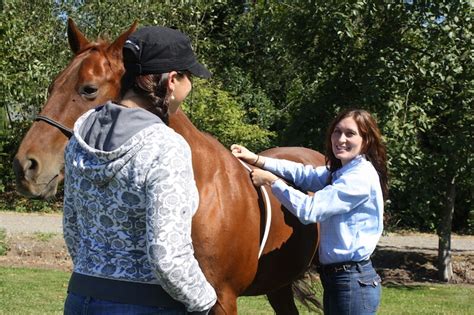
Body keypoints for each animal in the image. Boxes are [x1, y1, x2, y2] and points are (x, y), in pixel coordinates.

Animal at [12, 19, 326, 314]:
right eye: (52, 86)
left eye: (89, 89)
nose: (25, 166)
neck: (206, 189)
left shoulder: (223, 299)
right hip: (279, 285)